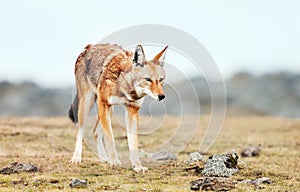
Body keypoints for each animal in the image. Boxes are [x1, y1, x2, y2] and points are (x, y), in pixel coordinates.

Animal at [68, 43, 168, 172]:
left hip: (110, 110)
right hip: (87, 105)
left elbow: (133, 143)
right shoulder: (104, 103)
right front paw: (115, 162)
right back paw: (76, 158)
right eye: (148, 79)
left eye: (161, 80)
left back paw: (105, 158)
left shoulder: (132, 111)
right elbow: (110, 138)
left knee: (95, 133)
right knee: (80, 131)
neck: (124, 86)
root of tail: (89, 47)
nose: (162, 96)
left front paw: (137, 166)